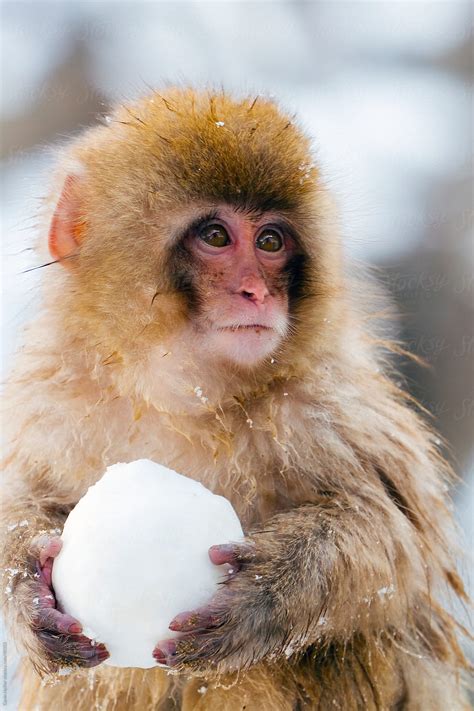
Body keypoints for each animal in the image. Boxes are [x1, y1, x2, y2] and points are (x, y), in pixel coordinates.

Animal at [0, 89, 470, 711]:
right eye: (217, 236)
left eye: (271, 242)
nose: (256, 292)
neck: (179, 393)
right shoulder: (49, 397)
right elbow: (22, 499)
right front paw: (27, 588)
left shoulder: (325, 405)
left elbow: (391, 540)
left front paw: (264, 594)